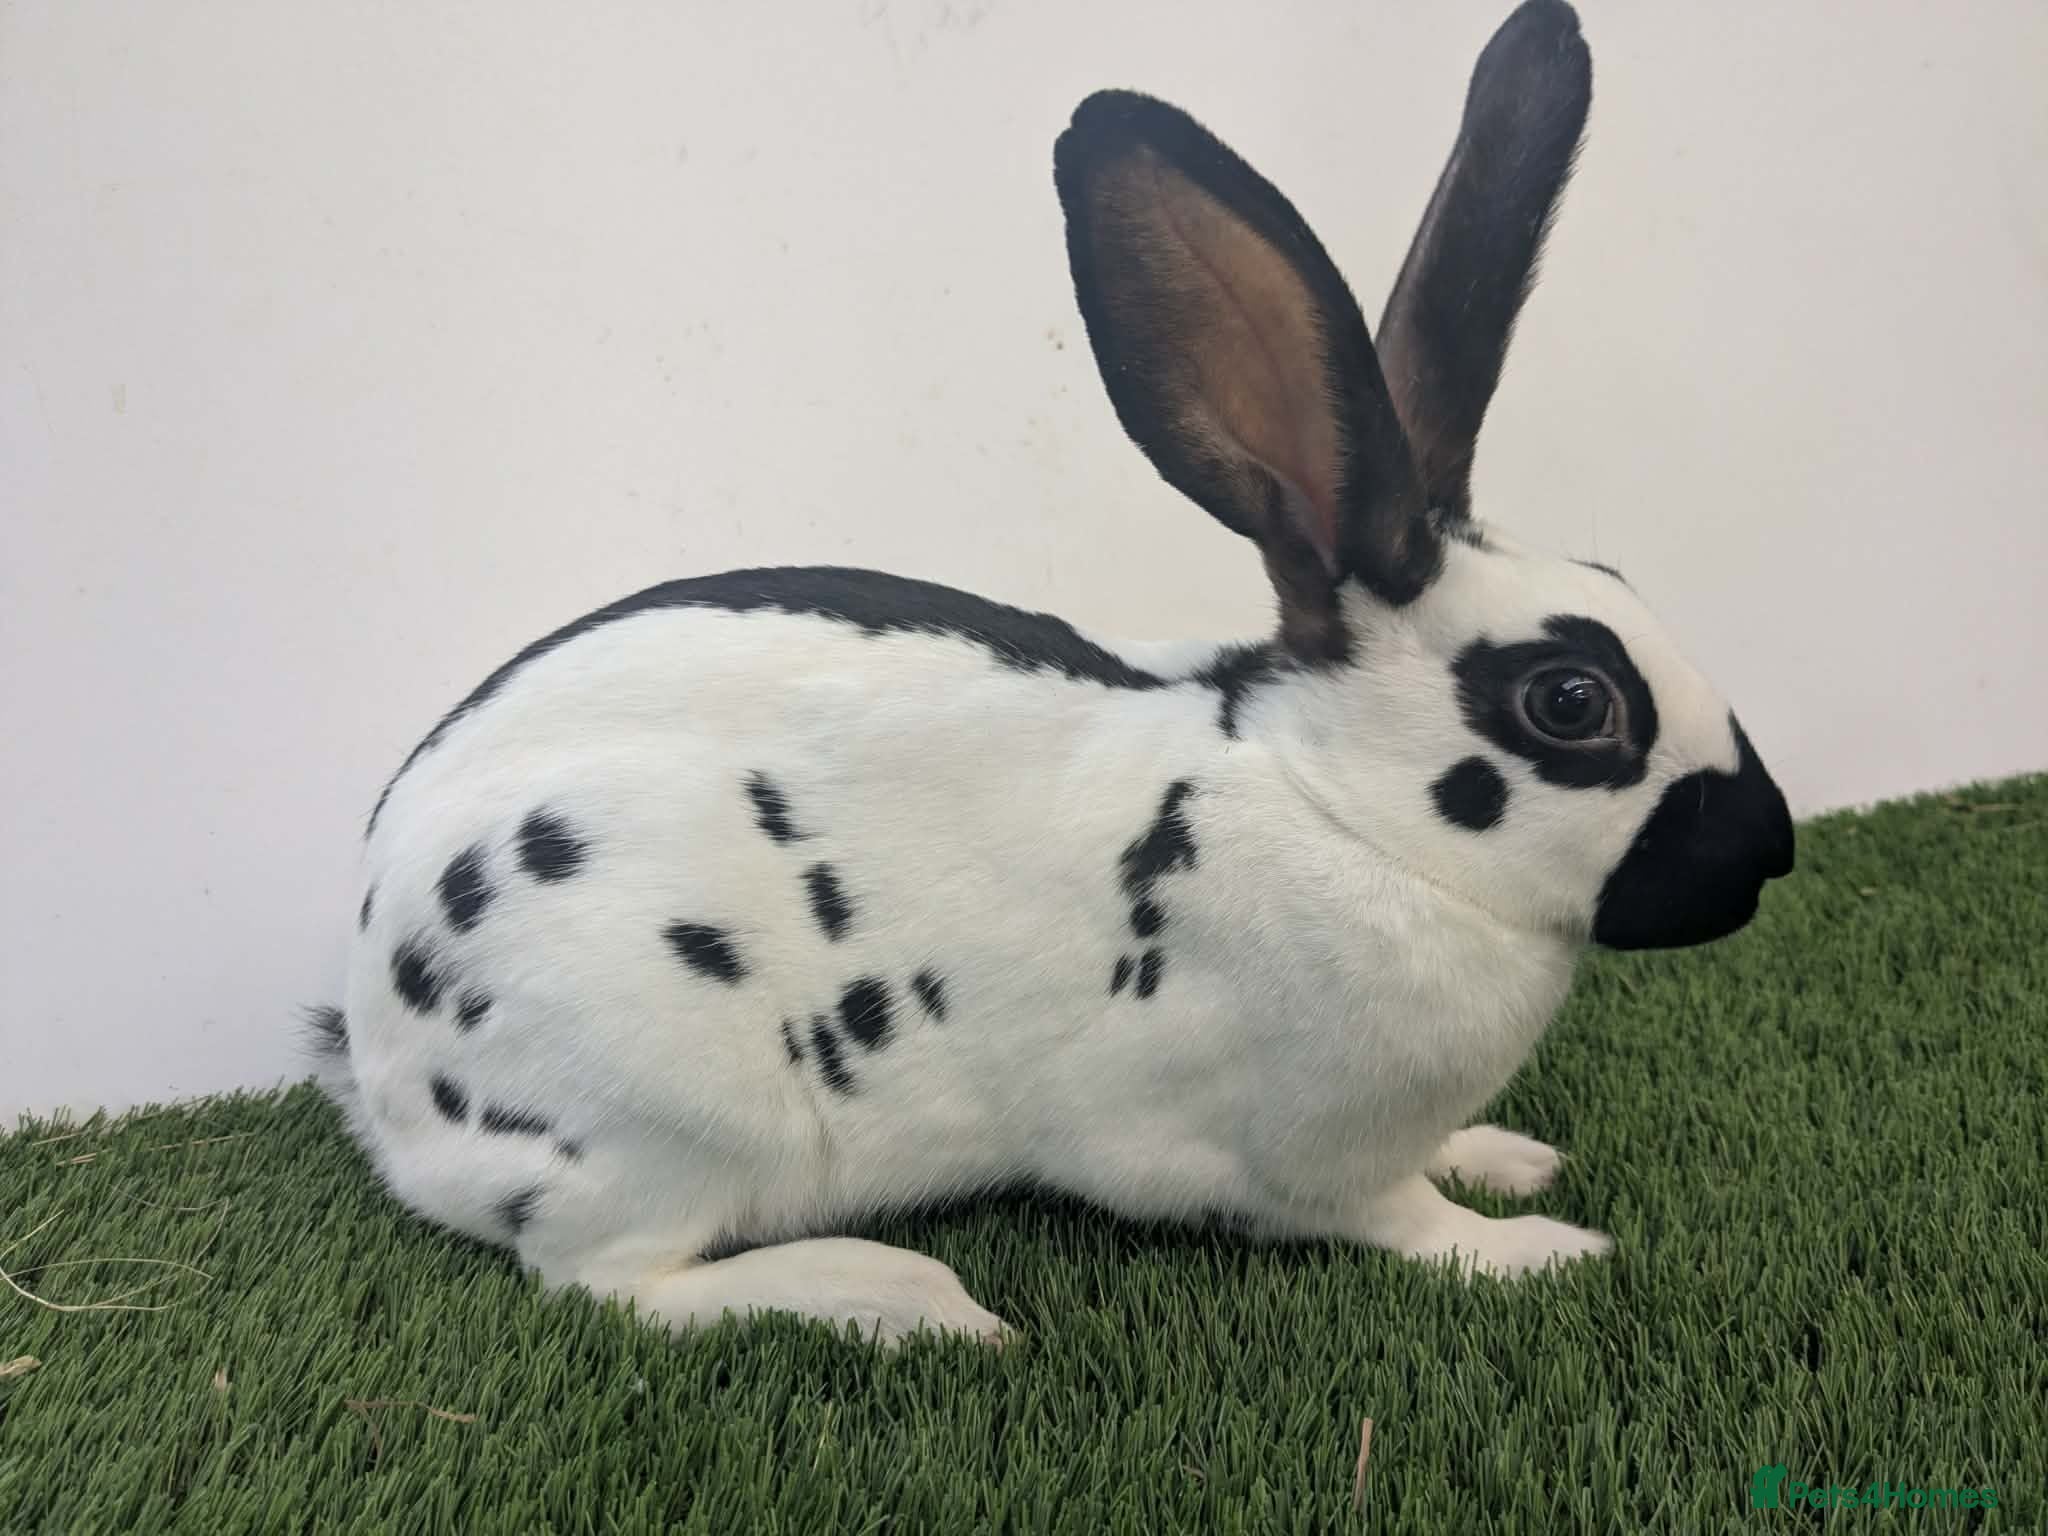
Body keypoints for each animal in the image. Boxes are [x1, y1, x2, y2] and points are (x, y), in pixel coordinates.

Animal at [307, 0, 1794, 1346]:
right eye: (1571, 702)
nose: (1770, 849)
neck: (1344, 814)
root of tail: (382, 1078)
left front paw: (1507, 1154)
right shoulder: (1314, 1161)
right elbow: (1405, 1224)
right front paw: (1541, 1245)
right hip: (663, 1114)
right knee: (609, 1284)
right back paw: (901, 1300)